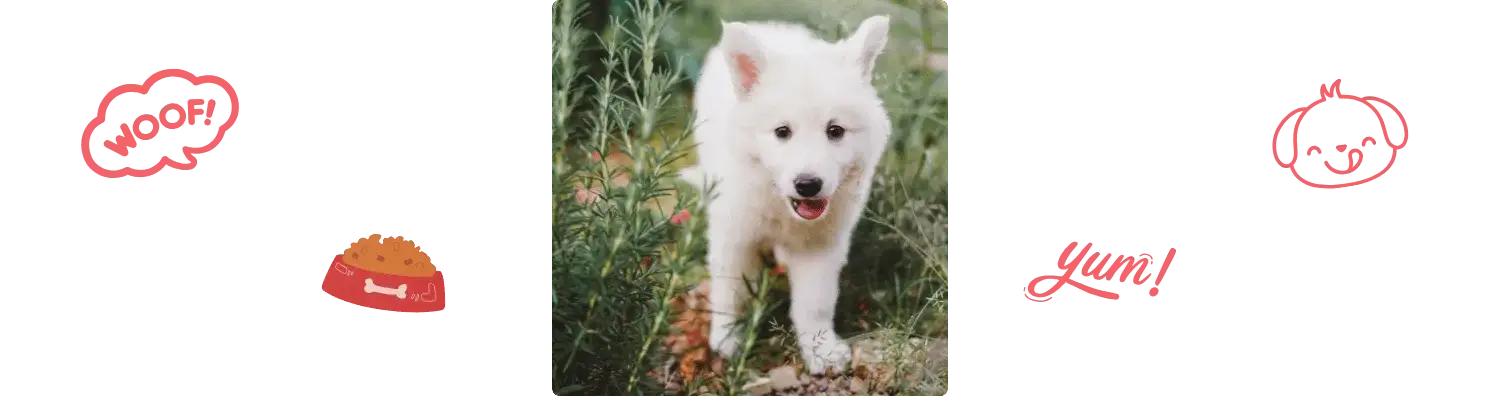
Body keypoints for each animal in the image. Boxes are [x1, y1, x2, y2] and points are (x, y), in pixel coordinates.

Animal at [681, 15, 888, 375]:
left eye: (835, 131)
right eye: (782, 132)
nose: (808, 184)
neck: (779, 205)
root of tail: (766, 23)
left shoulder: (821, 244)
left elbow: (815, 303)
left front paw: (821, 350)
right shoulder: (733, 236)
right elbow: (731, 291)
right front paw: (727, 339)